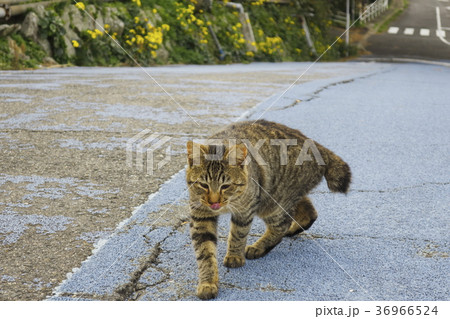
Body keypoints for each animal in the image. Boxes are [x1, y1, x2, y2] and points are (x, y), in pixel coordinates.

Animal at [185, 120, 350, 300]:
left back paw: (259, 247)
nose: (214, 202)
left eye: (225, 186)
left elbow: (238, 235)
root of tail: (317, 145)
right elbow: (205, 252)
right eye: (203, 185)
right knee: (309, 211)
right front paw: (207, 282)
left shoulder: (245, 210)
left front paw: (234, 255)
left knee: (282, 225)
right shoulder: (201, 216)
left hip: (272, 204)